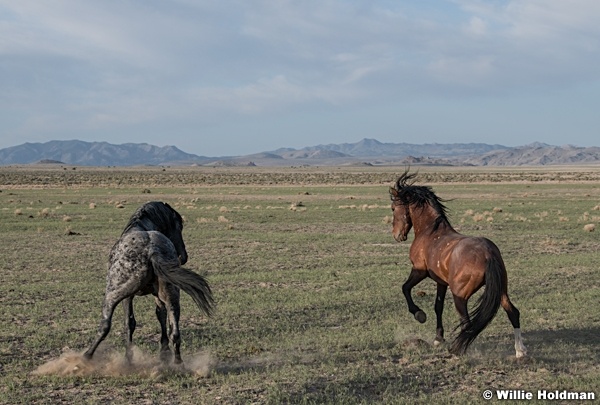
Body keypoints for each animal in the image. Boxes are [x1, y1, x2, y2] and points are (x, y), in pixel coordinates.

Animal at [83, 201, 214, 362]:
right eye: (179, 226)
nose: (184, 257)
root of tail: (151, 250)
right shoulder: (158, 297)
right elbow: (161, 316)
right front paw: (164, 351)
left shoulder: (128, 297)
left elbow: (129, 323)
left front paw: (129, 356)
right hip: (172, 296)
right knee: (175, 332)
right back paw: (178, 363)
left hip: (113, 294)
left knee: (105, 325)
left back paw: (86, 356)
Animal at [390, 171, 524, 356]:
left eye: (393, 208)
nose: (396, 235)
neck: (430, 231)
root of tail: (488, 253)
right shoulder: (441, 281)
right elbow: (438, 306)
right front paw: (438, 338)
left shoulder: (419, 271)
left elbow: (405, 288)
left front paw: (419, 314)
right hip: (502, 290)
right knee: (513, 313)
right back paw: (520, 351)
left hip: (460, 295)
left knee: (467, 323)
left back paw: (458, 350)